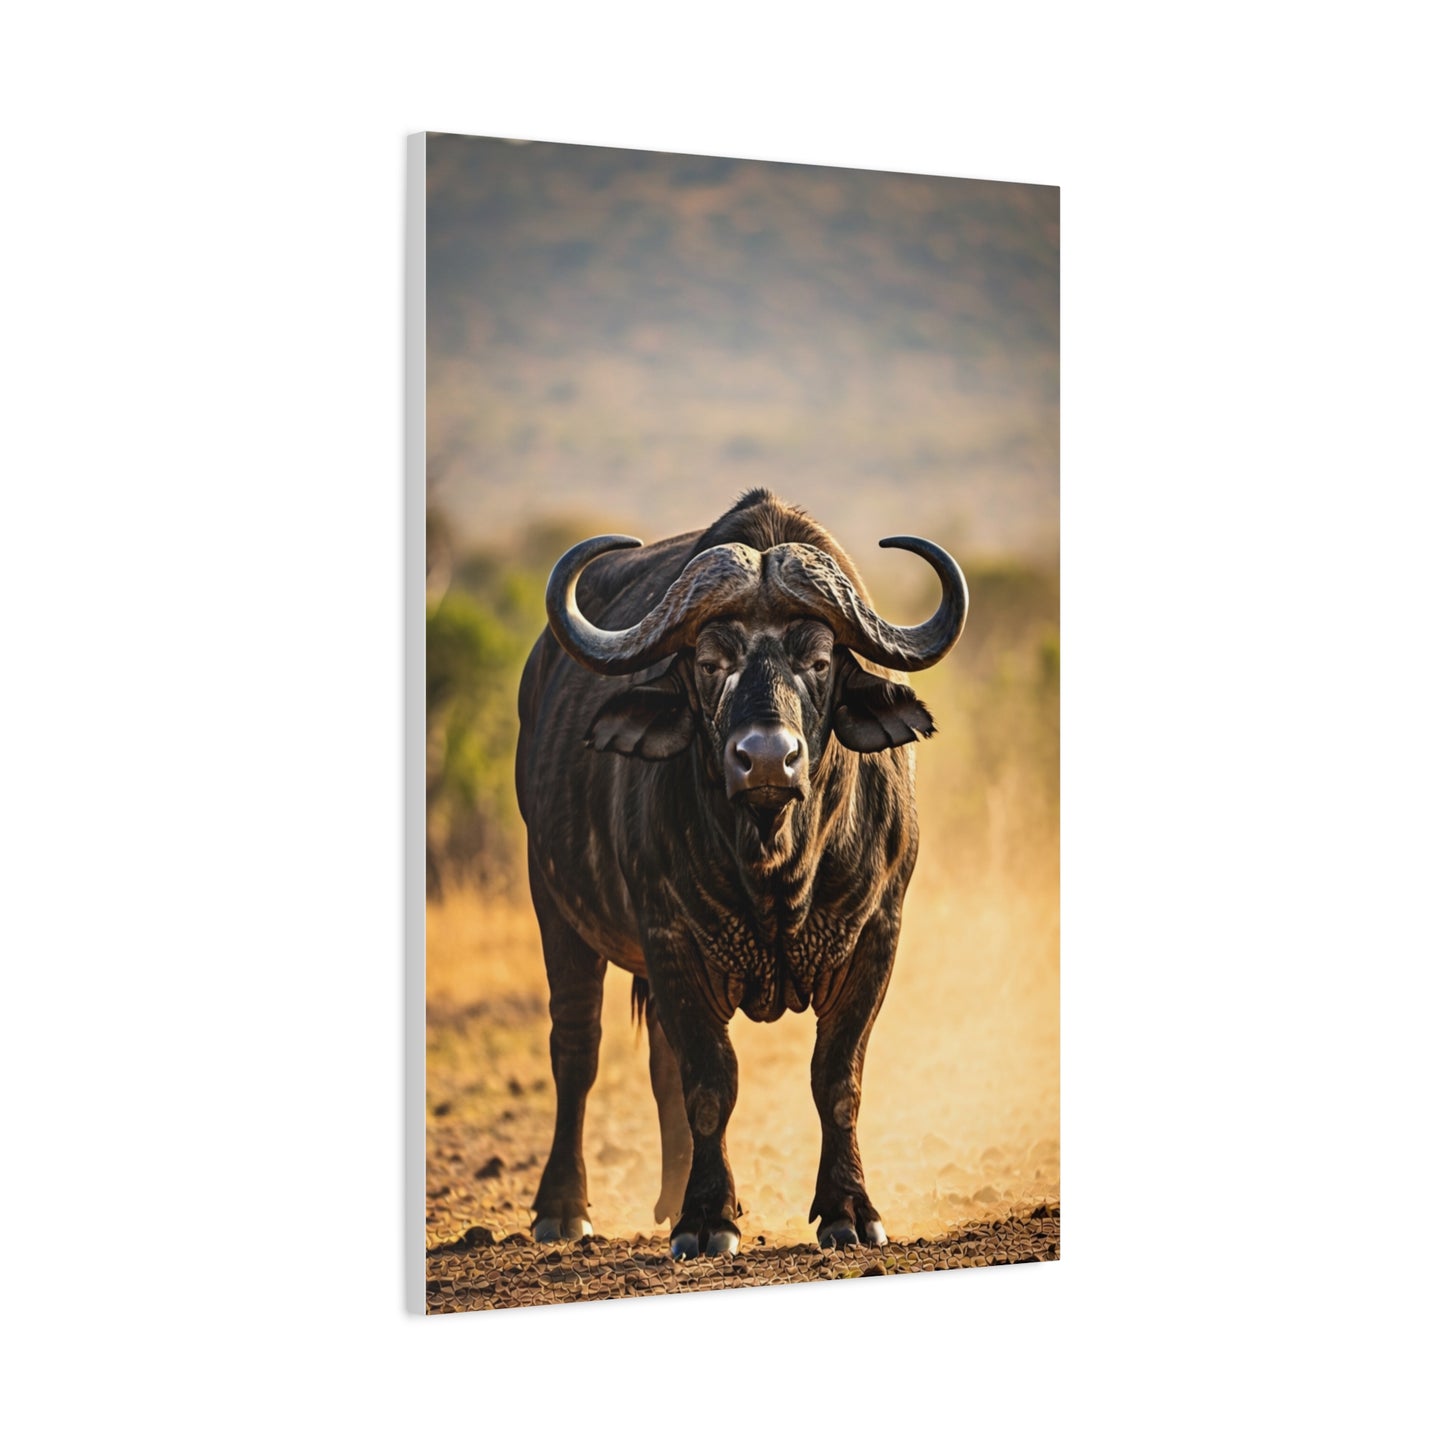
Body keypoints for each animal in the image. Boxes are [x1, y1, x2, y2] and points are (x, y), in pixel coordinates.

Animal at [515, 490, 967, 1259]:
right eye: (708, 661)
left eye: (819, 661)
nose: (764, 759)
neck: (775, 865)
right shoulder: (670, 936)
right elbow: (709, 1079)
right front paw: (708, 1218)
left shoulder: (877, 933)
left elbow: (836, 1076)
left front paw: (849, 1209)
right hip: (555, 907)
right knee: (577, 1050)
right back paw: (563, 1208)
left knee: (656, 1060)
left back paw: (668, 1196)